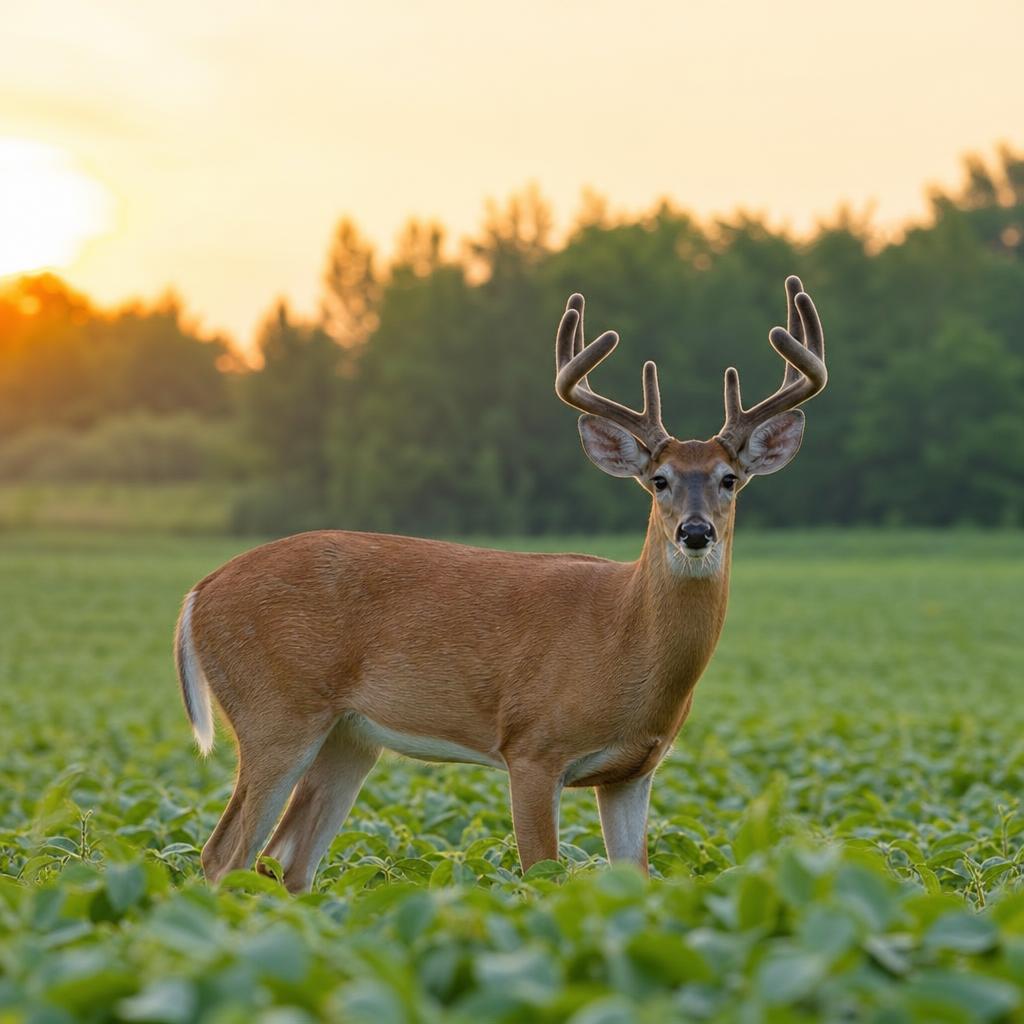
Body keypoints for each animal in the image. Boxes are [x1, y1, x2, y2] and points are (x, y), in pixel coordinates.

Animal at [175, 275, 827, 892]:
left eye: (729, 479)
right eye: (659, 480)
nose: (695, 532)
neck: (625, 643)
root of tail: (198, 593)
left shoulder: (634, 771)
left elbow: (636, 879)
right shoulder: (532, 746)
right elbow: (542, 875)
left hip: (348, 738)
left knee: (286, 863)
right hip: (275, 712)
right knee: (224, 854)